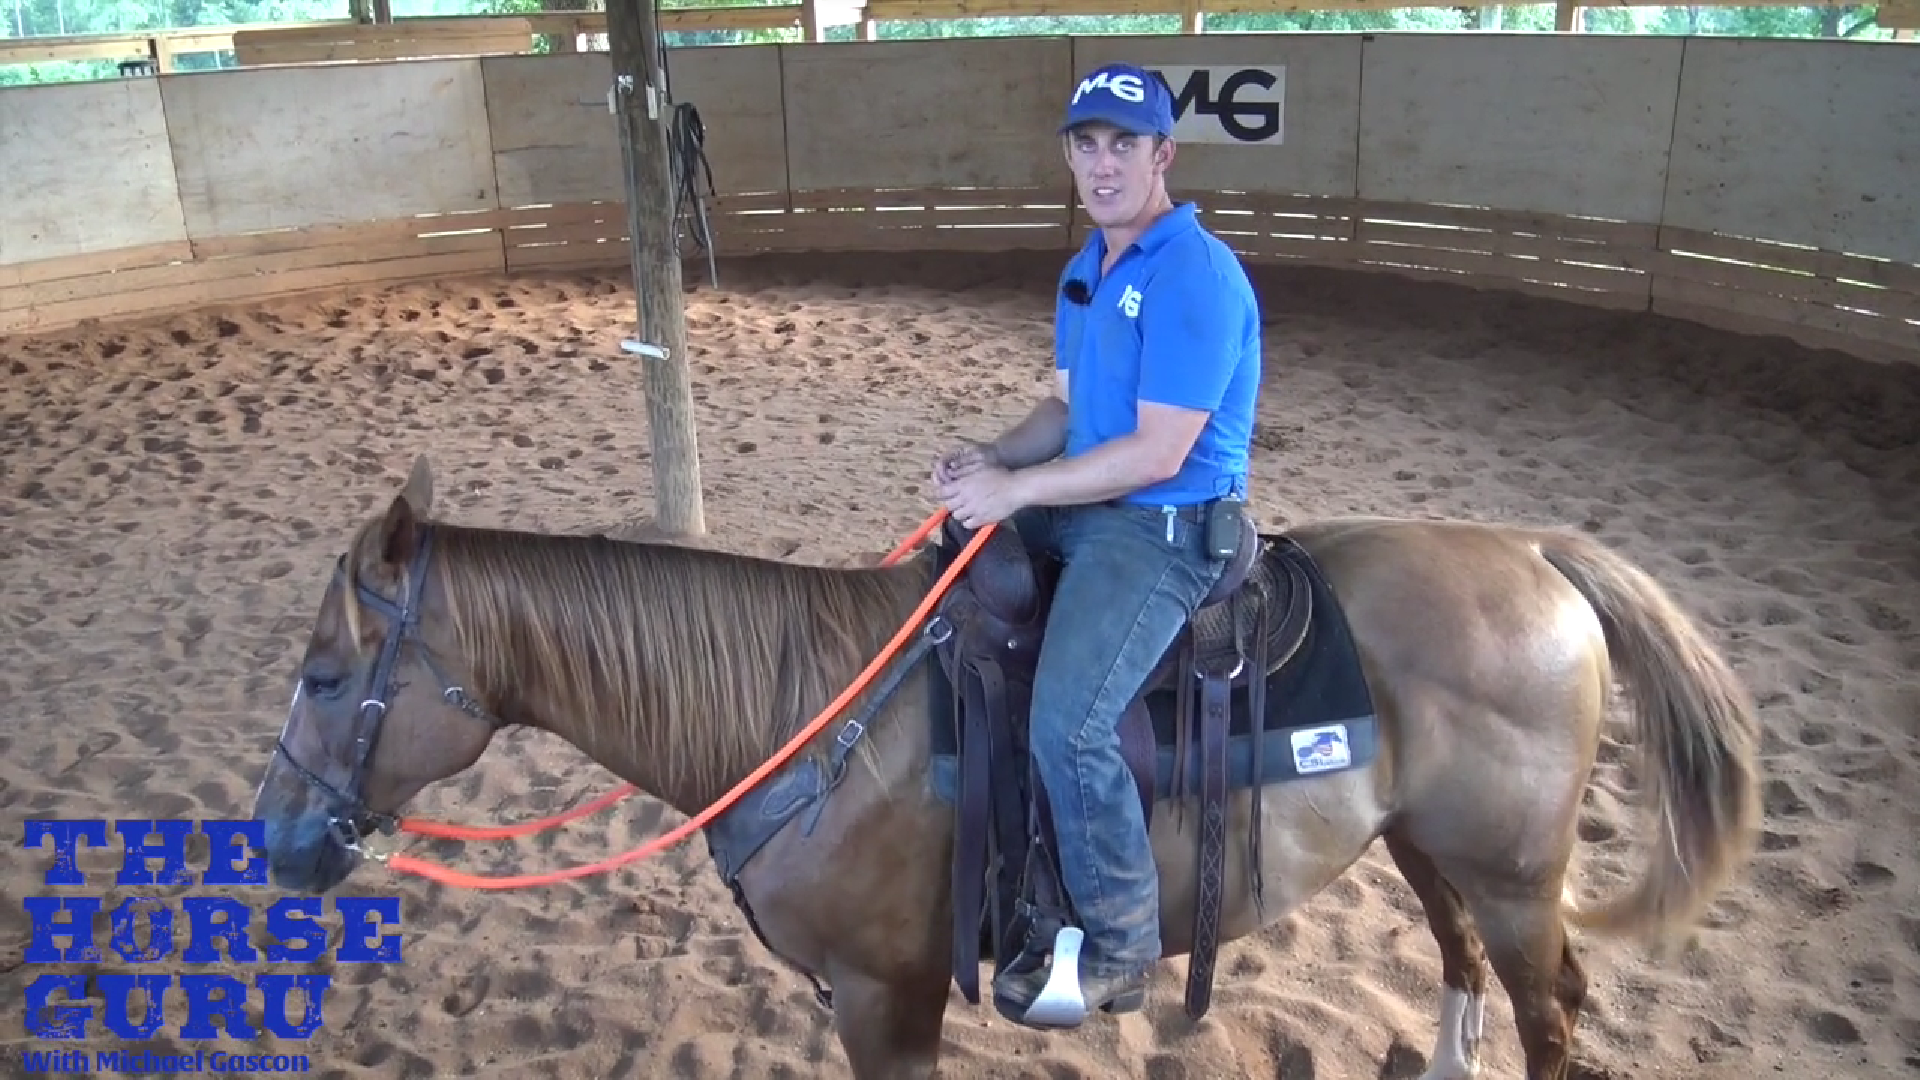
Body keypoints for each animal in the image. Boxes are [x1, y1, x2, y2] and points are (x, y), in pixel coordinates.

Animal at [250, 455, 1762, 1080]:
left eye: (324, 676)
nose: (274, 840)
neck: (807, 718)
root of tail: (1535, 553)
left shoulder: (889, 1000)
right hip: (1429, 846)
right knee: (1465, 968)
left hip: (1510, 873)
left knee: (1553, 1014)